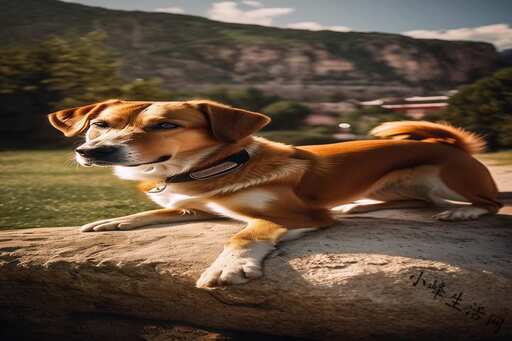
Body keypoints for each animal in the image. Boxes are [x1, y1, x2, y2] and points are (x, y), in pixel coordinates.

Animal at [49, 99, 504, 286]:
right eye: (99, 124)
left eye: (165, 125)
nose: (92, 151)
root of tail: (450, 144)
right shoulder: (199, 207)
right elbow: (153, 213)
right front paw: (111, 221)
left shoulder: (296, 215)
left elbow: (244, 233)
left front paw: (229, 267)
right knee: (415, 200)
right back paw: (359, 206)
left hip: (448, 174)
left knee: (488, 202)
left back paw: (463, 212)